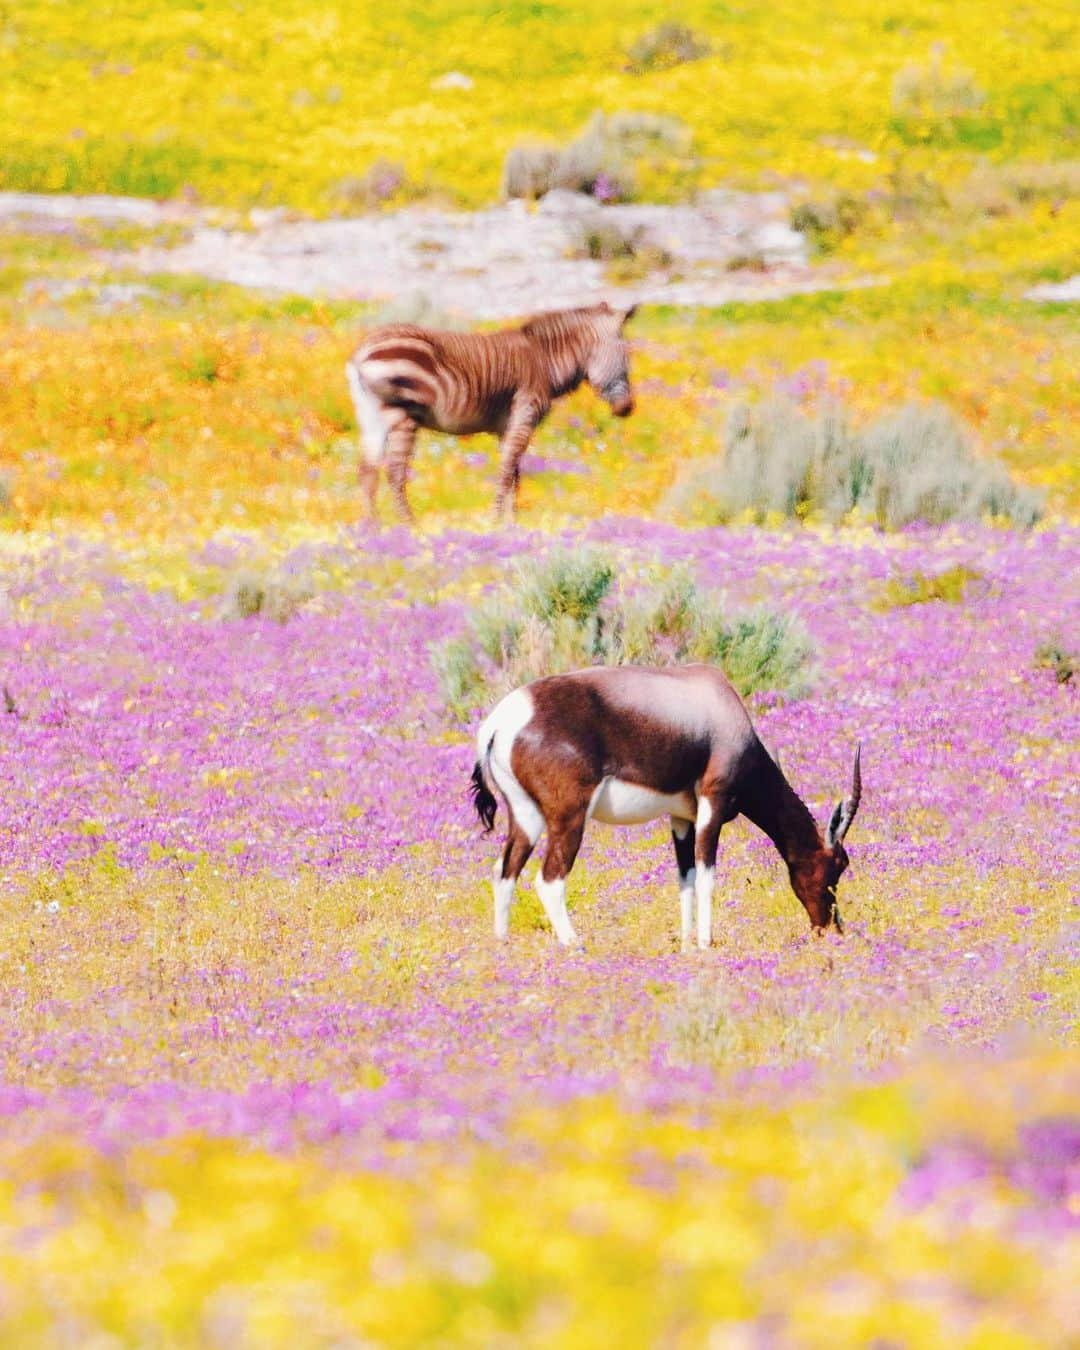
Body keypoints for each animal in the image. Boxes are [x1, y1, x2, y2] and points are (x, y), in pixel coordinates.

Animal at [344, 303, 631, 523]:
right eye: (626, 360)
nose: (627, 409)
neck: (544, 362)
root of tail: (362, 351)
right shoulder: (524, 415)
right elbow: (506, 471)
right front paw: (495, 519)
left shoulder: (507, 427)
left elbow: (514, 474)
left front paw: (511, 523)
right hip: (402, 415)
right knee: (394, 472)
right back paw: (409, 525)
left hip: (370, 416)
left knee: (366, 471)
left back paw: (371, 527)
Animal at [467, 666, 864, 950]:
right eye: (836, 867)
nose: (830, 928)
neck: (717, 703)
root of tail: (501, 723)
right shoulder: (712, 806)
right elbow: (706, 876)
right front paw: (705, 943)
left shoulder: (681, 818)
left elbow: (684, 878)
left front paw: (686, 943)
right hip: (569, 818)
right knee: (549, 880)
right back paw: (575, 945)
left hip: (525, 817)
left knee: (504, 871)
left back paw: (503, 944)